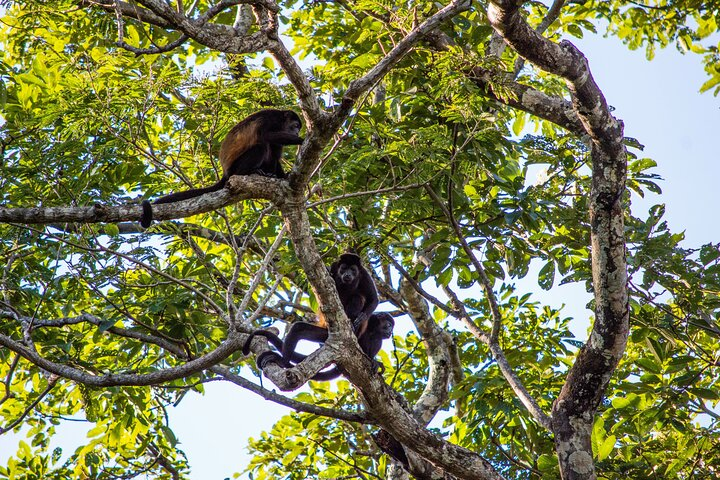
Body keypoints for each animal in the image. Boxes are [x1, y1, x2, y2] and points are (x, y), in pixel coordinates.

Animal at [140, 109, 303, 227]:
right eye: (295, 126)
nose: (296, 133)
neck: (281, 120)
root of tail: (225, 173)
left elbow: (276, 153)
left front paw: (283, 176)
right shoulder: (271, 119)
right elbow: (267, 134)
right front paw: (301, 140)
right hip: (236, 166)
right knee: (261, 145)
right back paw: (250, 172)